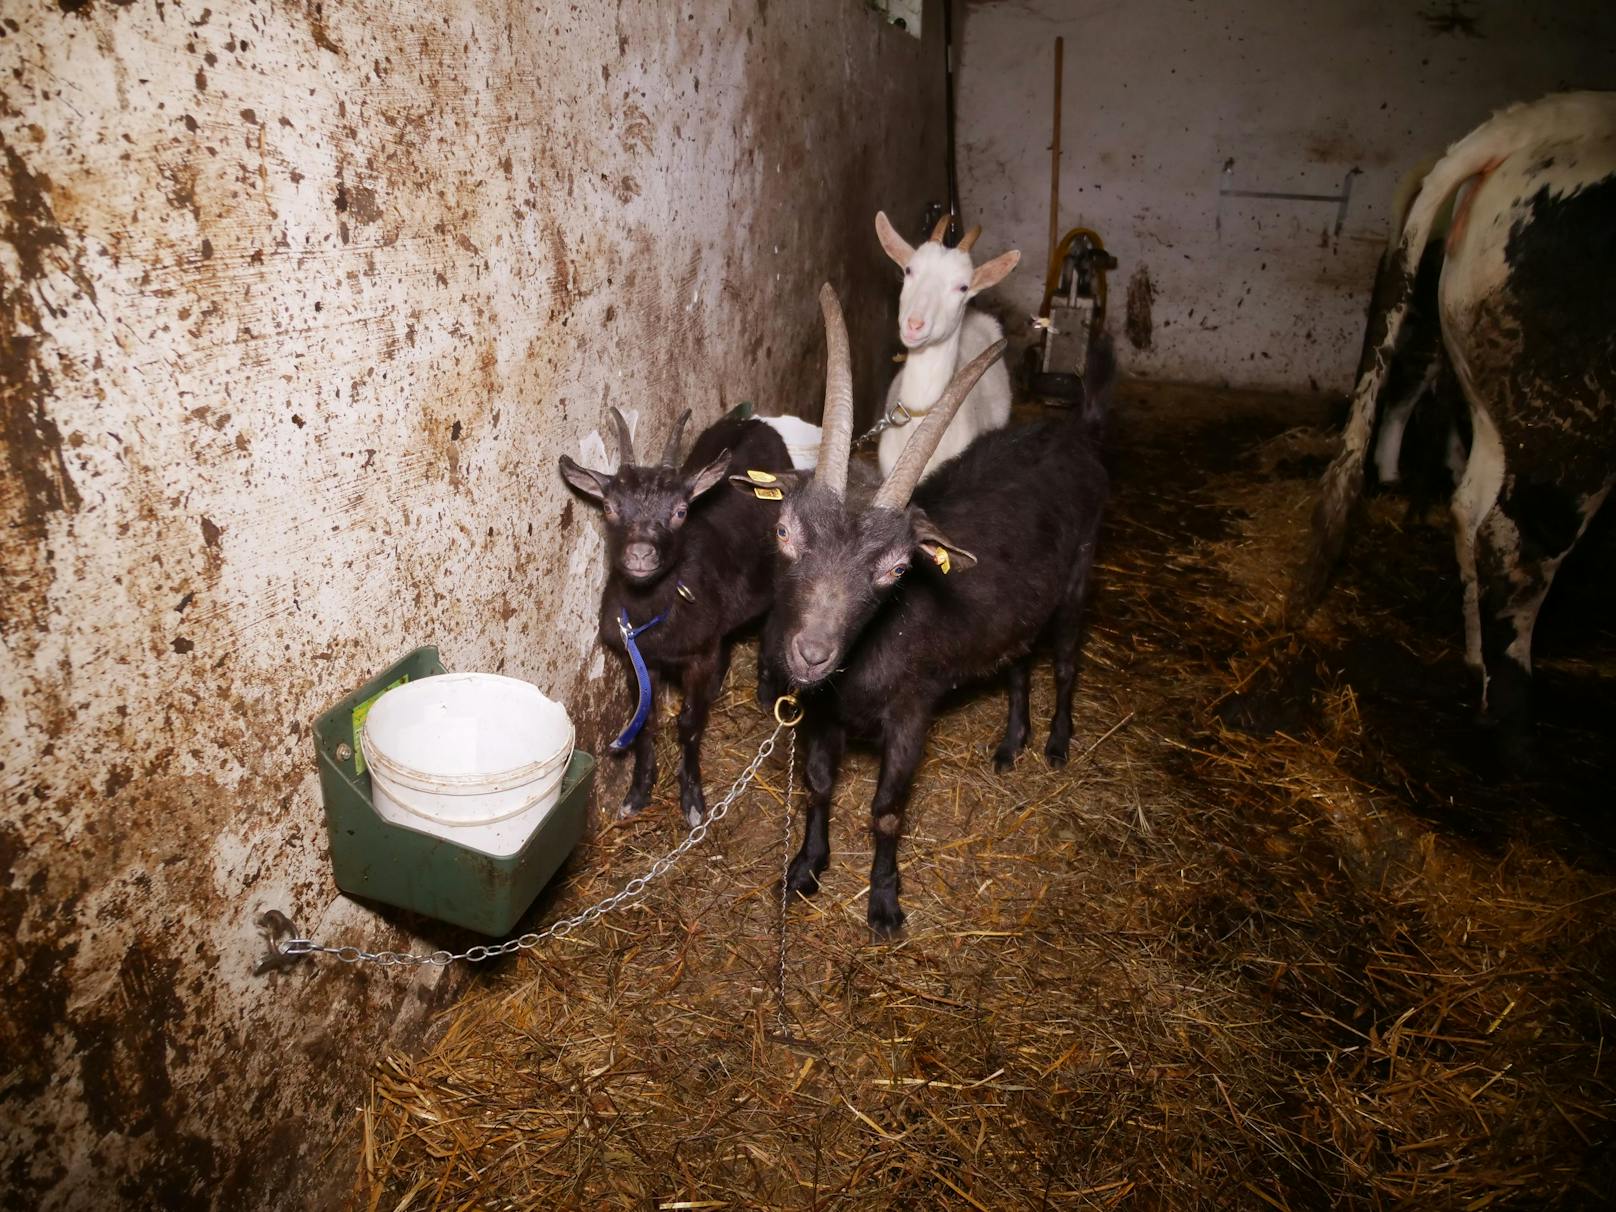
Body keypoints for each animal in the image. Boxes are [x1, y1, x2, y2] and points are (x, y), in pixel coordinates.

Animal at [559, 408, 791, 827]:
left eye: (680, 511)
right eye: (609, 508)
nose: (640, 554)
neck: (654, 614)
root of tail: (755, 421)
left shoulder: (698, 657)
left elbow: (689, 724)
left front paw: (693, 800)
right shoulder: (636, 659)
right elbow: (645, 722)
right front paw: (637, 793)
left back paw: (766, 691)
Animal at [740, 284, 1111, 937]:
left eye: (896, 569)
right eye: (783, 530)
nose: (812, 654)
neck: (866, 657)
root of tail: (1078, 433)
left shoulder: (913, 713)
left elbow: (887, 812)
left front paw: (885, 904)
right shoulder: (824, 714)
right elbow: (817, 785)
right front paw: (807, 867)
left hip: (1077, 580)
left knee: (1066, 663)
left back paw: (1057, 744)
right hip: (1018, 611)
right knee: (1020, 663)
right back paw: (1011, 744)